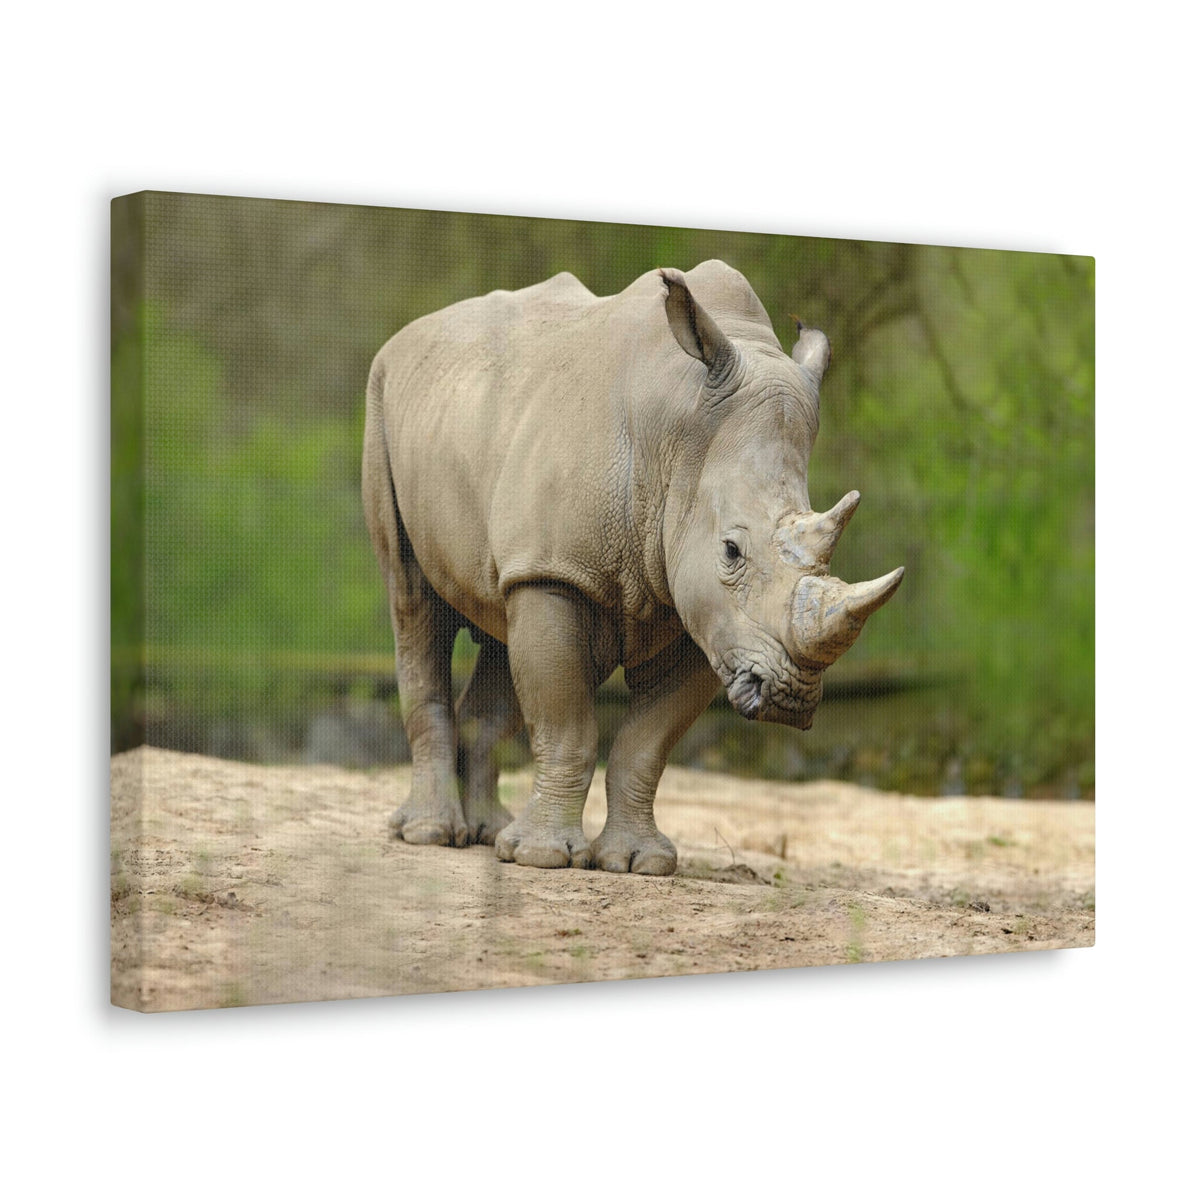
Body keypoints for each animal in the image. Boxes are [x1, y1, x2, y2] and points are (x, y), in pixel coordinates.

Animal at [362, 260, 903, 875]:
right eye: (731, 551)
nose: (788, 698)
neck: (679, 436)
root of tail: (412, 333)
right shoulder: (558, 571)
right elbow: (566, 723)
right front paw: (542, 858)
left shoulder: (708, 616)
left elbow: (646, 744)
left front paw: (638, 862)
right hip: (383, 398)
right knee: (413, 601)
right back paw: (431, 834)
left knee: (499, 623)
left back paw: (487, 833)